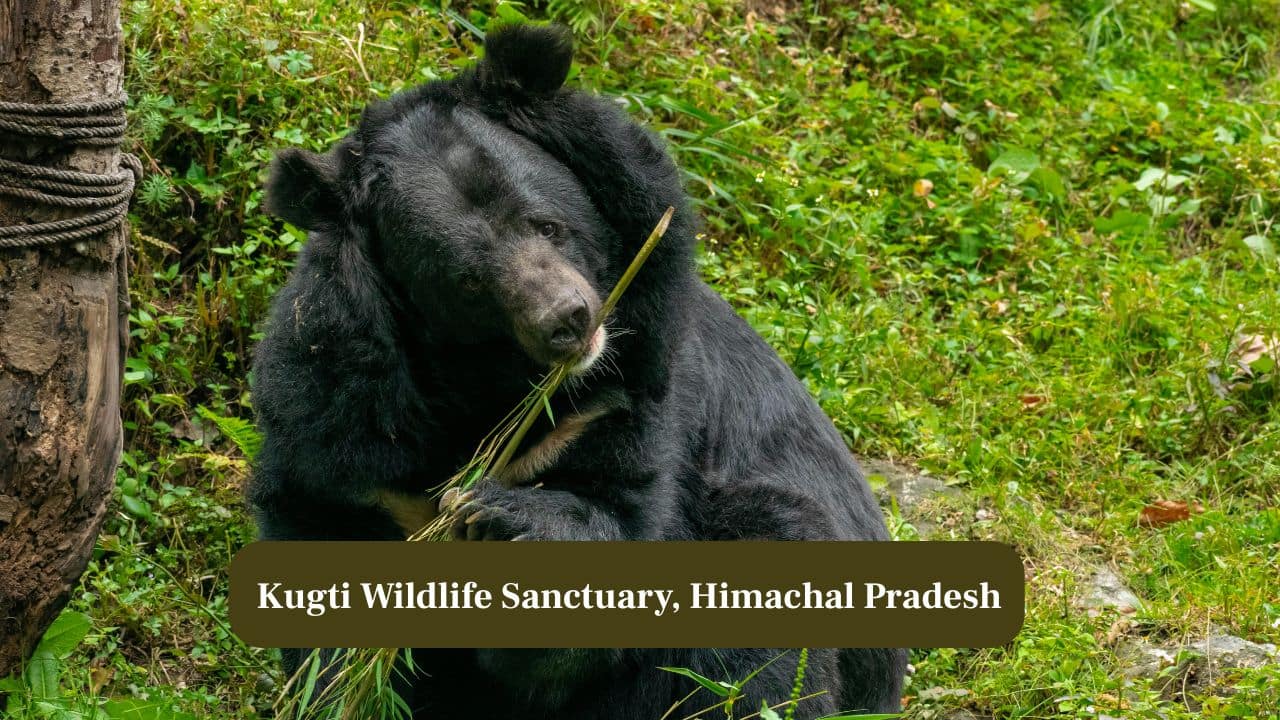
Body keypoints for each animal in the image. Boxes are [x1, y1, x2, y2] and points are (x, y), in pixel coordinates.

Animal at [247, 23, 907, 719]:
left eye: (546, 224)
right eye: (467, 281)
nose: (567, 319)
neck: (491, 390)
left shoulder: (628, 395)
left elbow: (619, 532)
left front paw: (500, 516)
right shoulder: (341, 423)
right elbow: (322, 575)